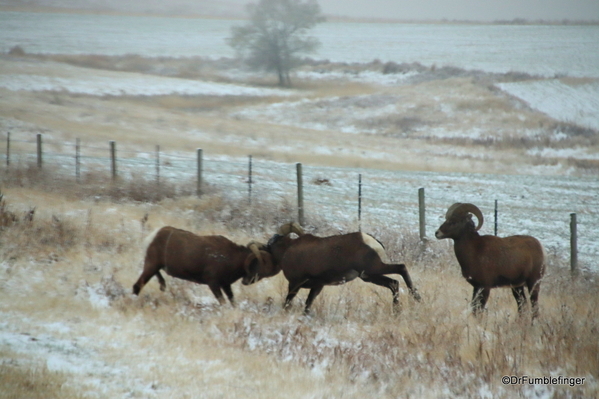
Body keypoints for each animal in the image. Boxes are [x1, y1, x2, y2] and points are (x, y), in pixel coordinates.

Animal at [132, 228, 276, 306]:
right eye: (262, 265)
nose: (247, 282)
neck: (231, 258)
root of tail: (152, 237)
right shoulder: (213, 284)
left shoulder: (226, 285)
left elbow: (232, 301)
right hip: (151, 266)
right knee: (137, 286)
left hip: (154, 268)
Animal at [262, 223, 422, 314]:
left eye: (270, 245)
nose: (264, 247)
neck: (288, 250)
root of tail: (372, 241)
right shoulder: (317, 286)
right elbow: (308, 304)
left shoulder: (294, 284)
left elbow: (288, 302)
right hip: (369, 276)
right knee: (393, 283)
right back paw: (397, 310)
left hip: (374, 269)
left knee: (401, 268)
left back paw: (416, 297)